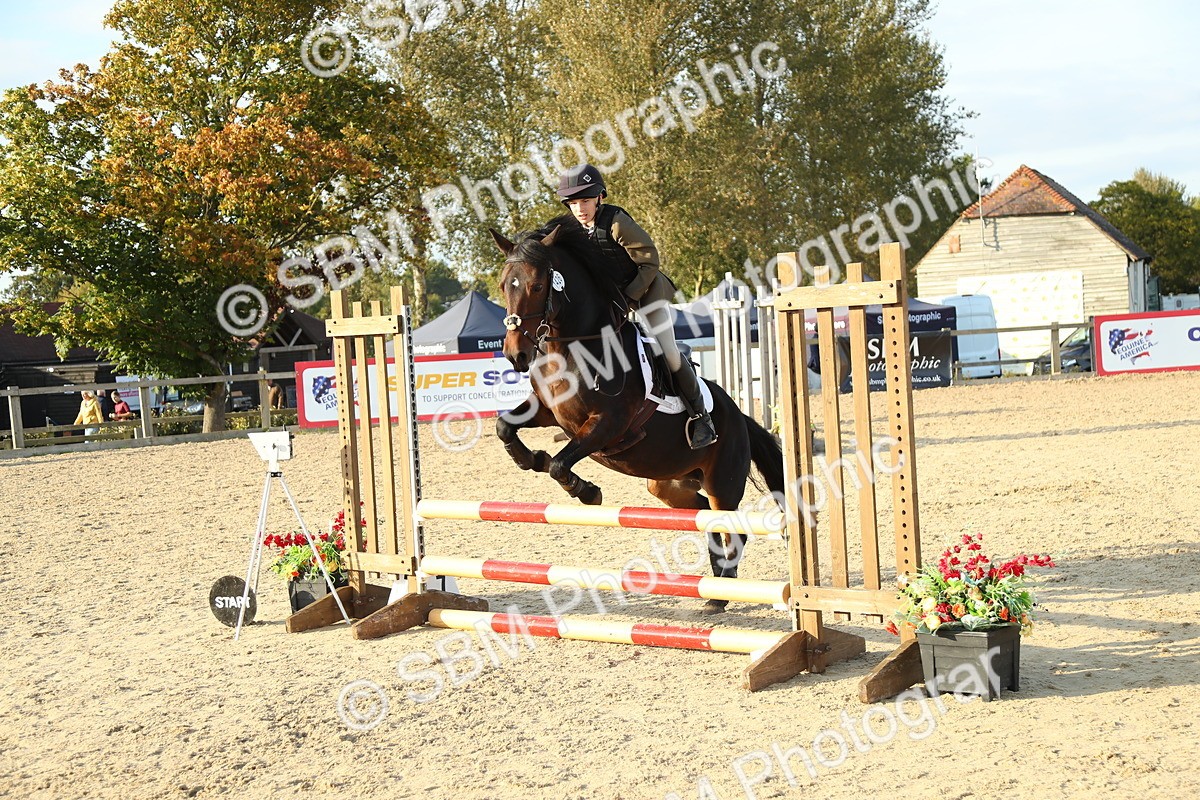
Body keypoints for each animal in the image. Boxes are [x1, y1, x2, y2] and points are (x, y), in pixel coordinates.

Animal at [490, 217, 787, 613]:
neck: (573, 347)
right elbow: (505, 427)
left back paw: (721, 590)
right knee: (702, 517)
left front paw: (587, 492)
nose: (515, 355)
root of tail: (740, 418)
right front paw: (531, 458)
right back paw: (714, 591)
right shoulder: (548, 412)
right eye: (504, 285)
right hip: (667, 484)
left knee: (730, 526)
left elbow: (561, 465)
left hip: (722, 482)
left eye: (537, 285)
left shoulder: (608, 425)